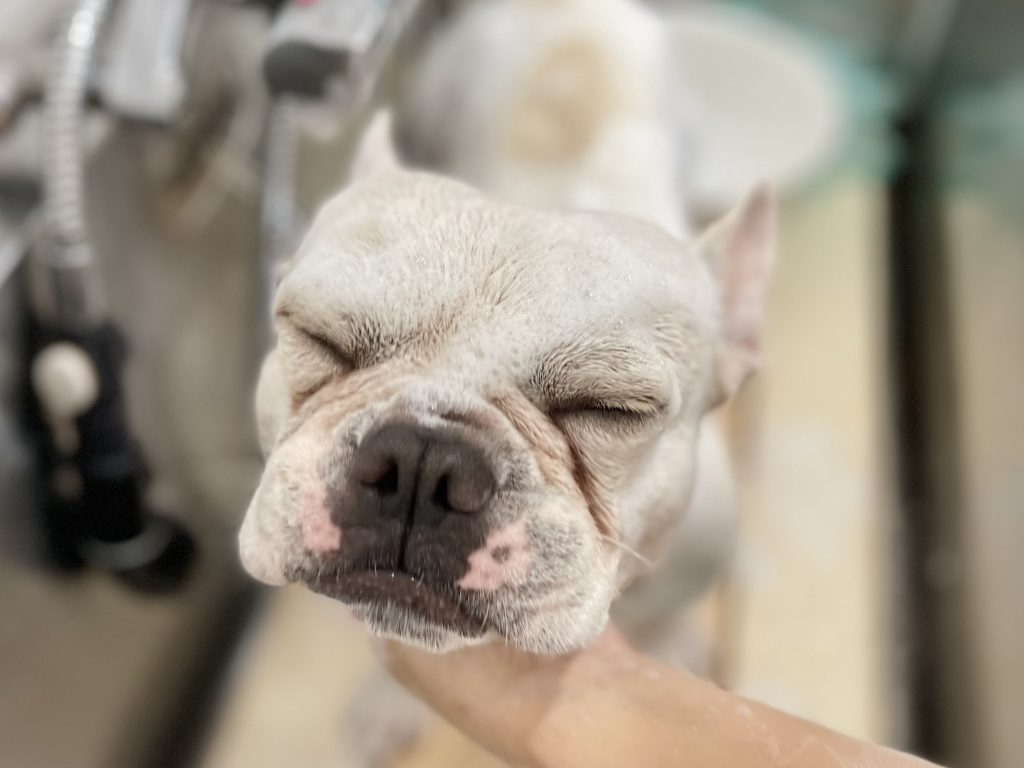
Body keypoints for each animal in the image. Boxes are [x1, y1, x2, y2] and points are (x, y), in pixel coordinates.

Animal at [239, 0, 774, 758]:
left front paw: (670, 643)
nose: (422, 461)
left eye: (613, 409)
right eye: (318, 338)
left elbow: (669, 610)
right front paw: (389, 703)